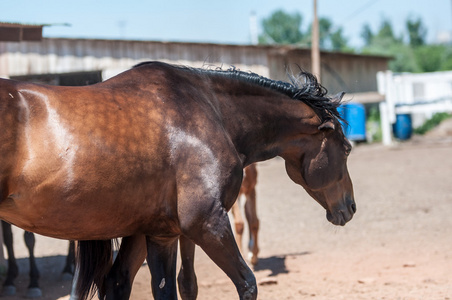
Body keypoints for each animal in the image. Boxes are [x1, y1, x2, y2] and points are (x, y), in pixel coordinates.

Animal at [0, 61, 354, 300]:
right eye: (347, 149)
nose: (350, 207)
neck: (211, 111)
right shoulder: (207, 223)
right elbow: (246, 283)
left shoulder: (158, 232)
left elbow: (153, 286)